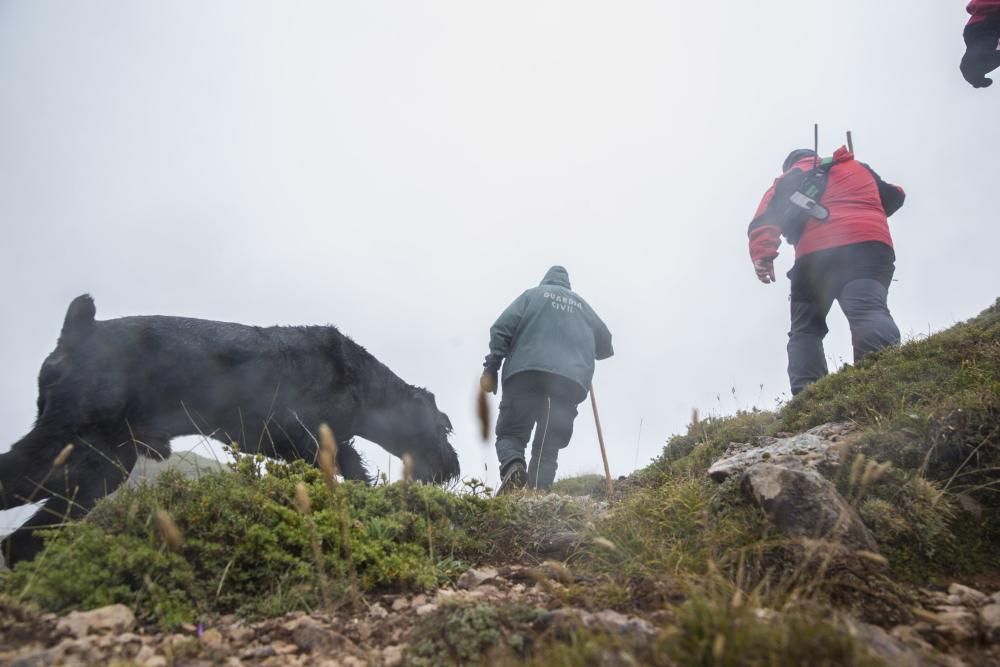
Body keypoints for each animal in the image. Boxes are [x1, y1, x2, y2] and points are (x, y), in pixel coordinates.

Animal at [0, 296, 460, 564]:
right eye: (445, 428)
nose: (451, 467)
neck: (364, 382)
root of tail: (77, 334)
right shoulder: (306, 441)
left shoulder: (319, 446)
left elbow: (354, 471)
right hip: (68, 447)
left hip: (99, 468)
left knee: (32, 532)